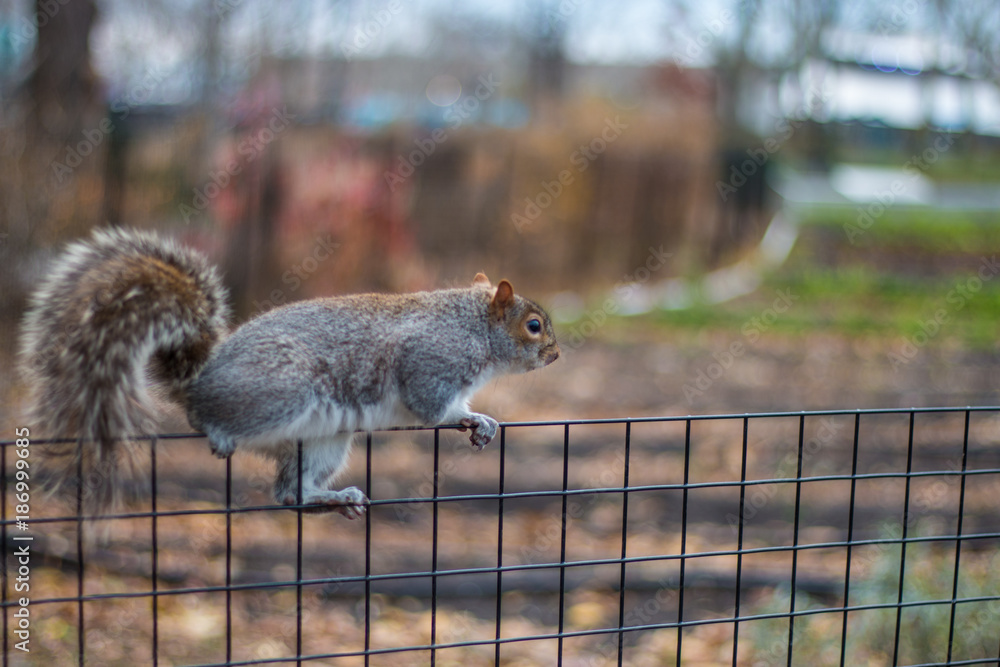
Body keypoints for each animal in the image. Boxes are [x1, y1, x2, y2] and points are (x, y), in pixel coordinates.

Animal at [18, 227, 560, 517]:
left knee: (290, 494)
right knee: (226, 430)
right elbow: (433, 407)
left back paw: (335, 497)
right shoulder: (430, 362)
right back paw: (218, 430)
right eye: (534, 326)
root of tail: (199, 385)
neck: (472, 325)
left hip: (323, 439)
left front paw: (484, 421)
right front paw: (471, 418)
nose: (555, 356)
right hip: (286, 392)